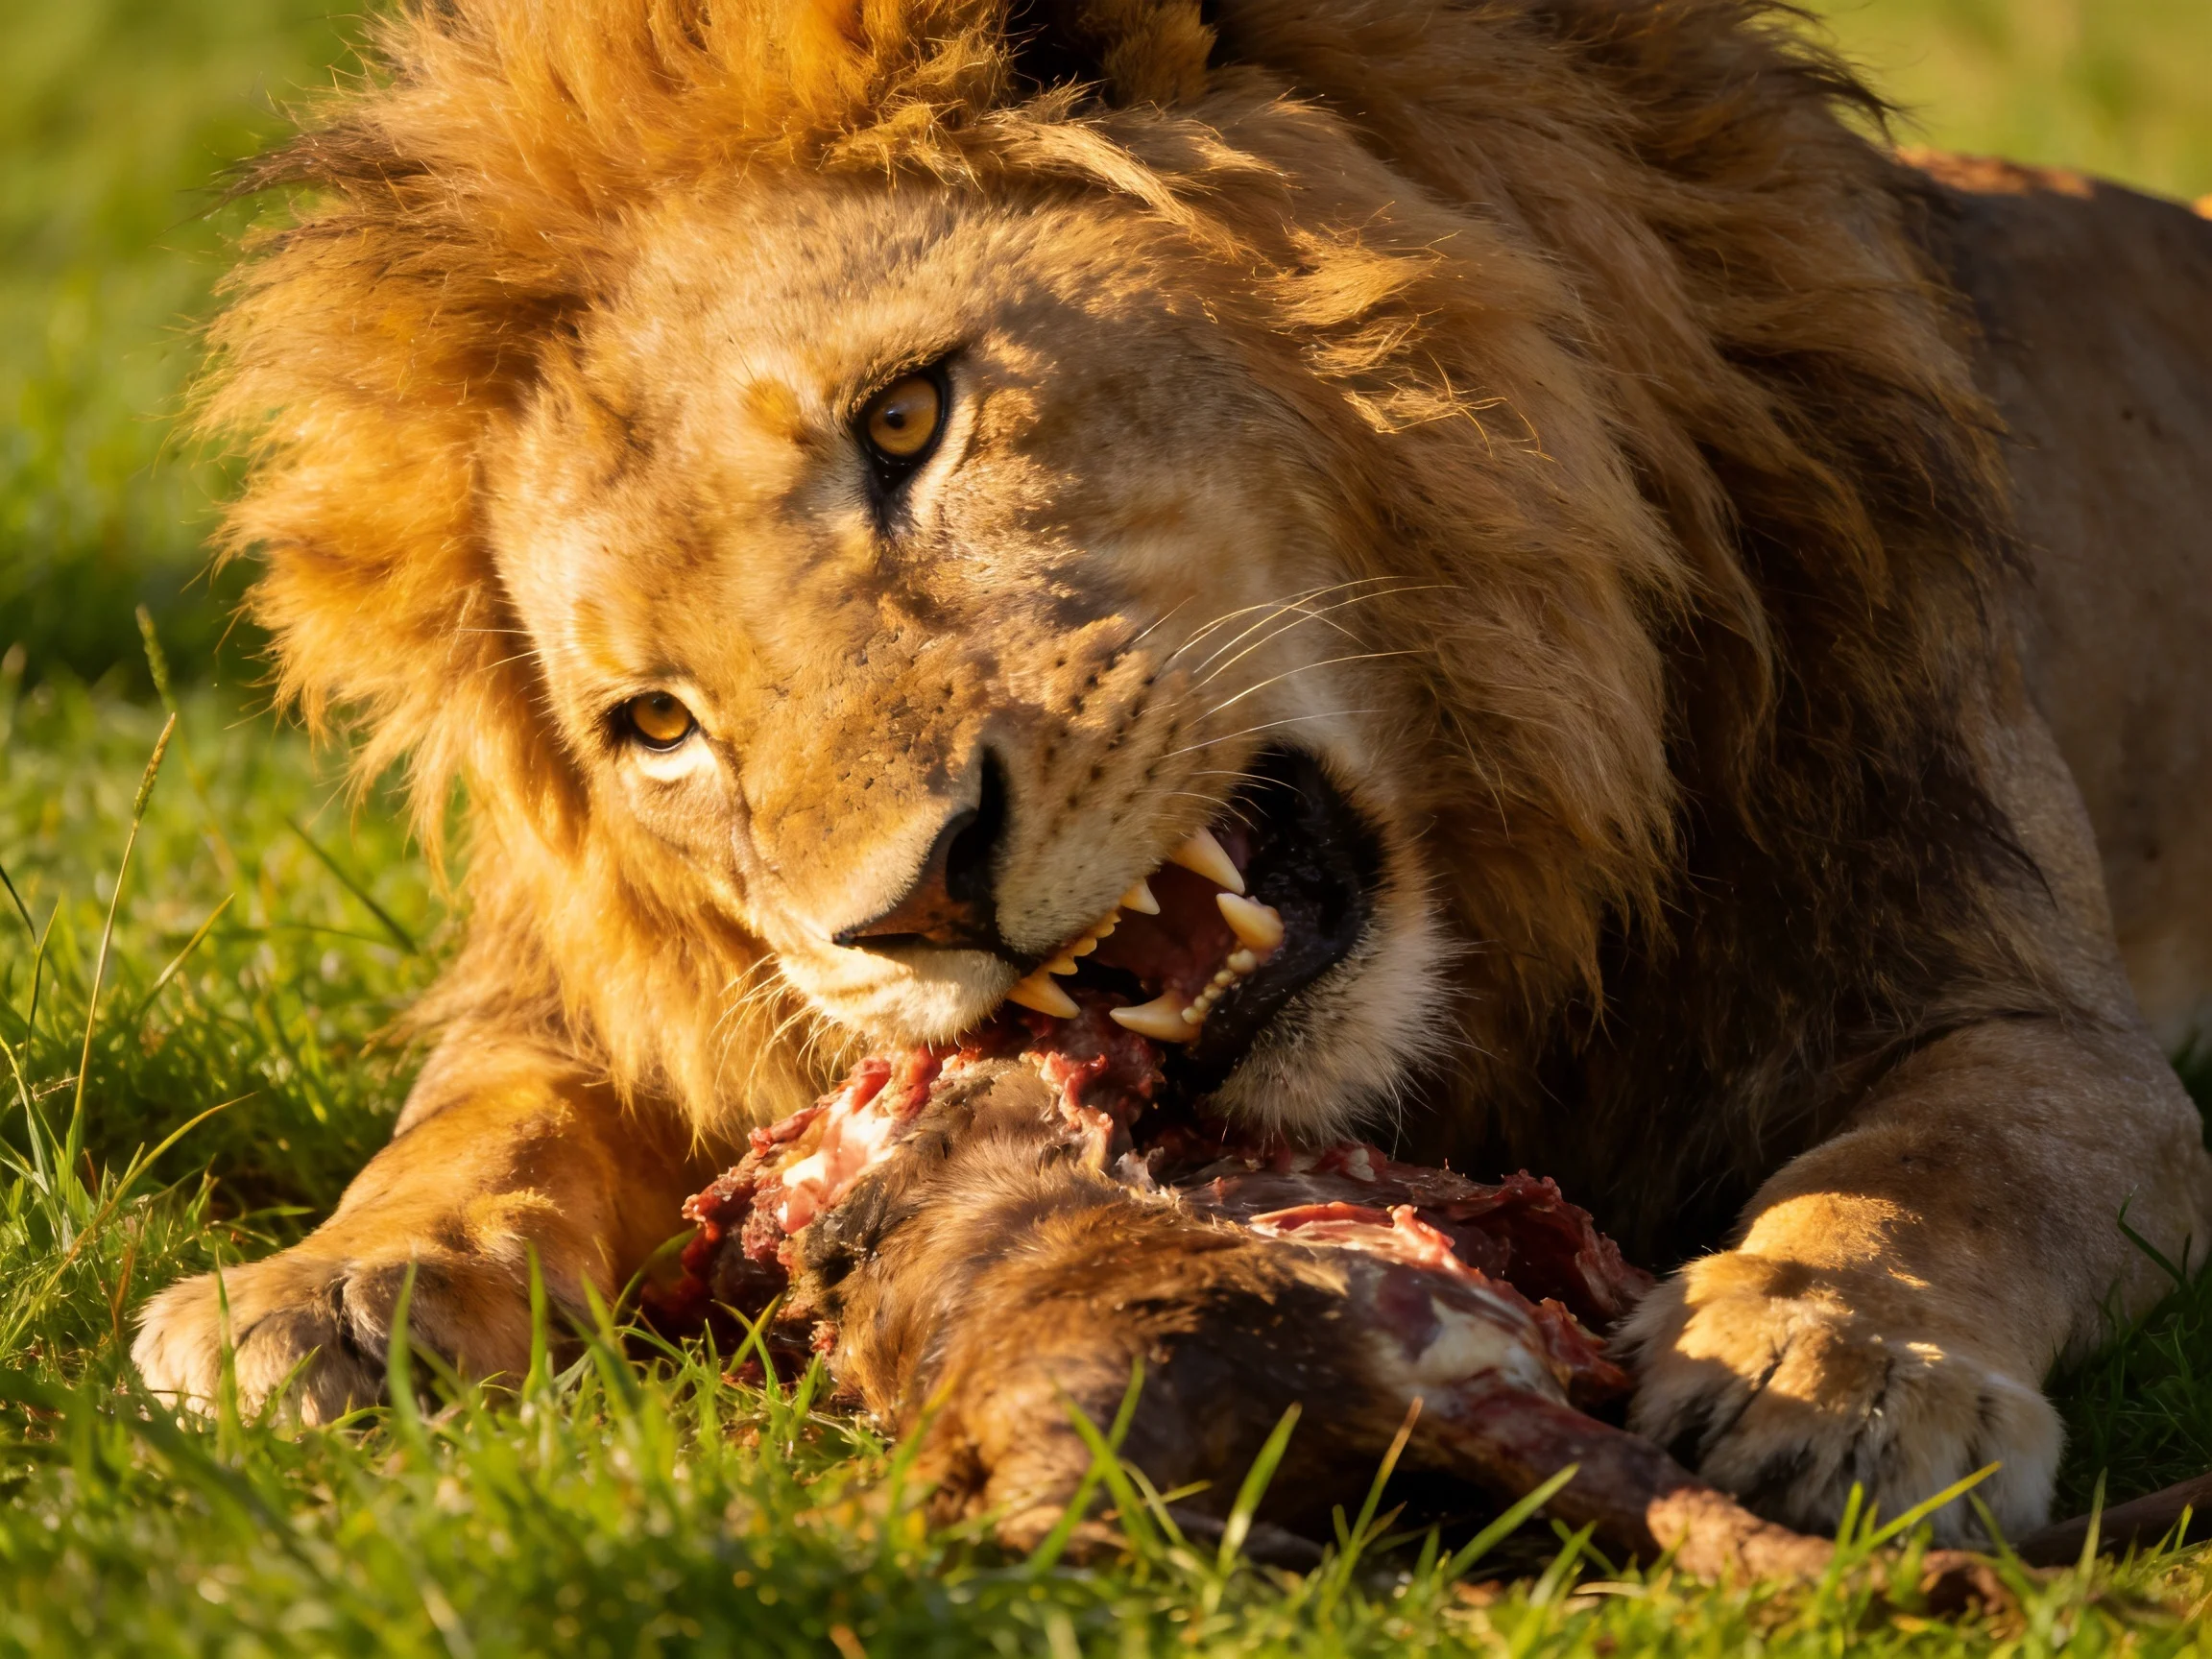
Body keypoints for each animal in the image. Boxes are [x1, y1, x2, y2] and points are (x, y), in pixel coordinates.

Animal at [133, 0, 2212, 1545]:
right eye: (657, 726)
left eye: (908, 420)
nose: (910, 907)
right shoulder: (616, 1000)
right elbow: (487, 1113)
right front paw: (329, 1283)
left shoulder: (2003, 995)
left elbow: (1940, 1167)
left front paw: (1829, 1364)